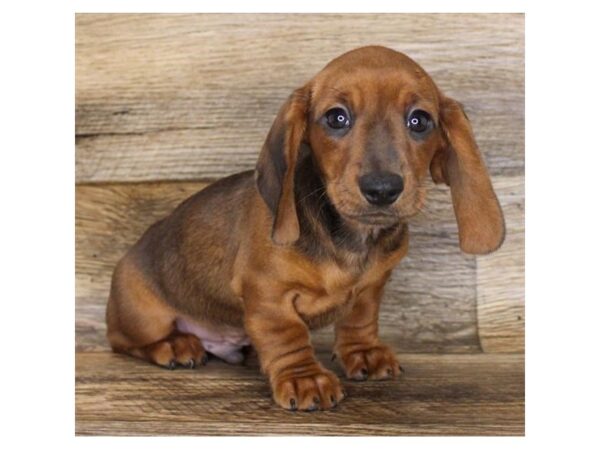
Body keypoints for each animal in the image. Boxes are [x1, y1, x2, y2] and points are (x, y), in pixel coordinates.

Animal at [105, 45, 504, 412]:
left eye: (419, 120)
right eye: (336, 118)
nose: (382, 189)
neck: (351, 240)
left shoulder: (372, 287)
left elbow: (360, 319)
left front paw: (364, 353)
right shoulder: (268, 293)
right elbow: (288, 335)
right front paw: (304, 378)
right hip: (144, 315)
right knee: (121, 340)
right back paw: (173, 344)